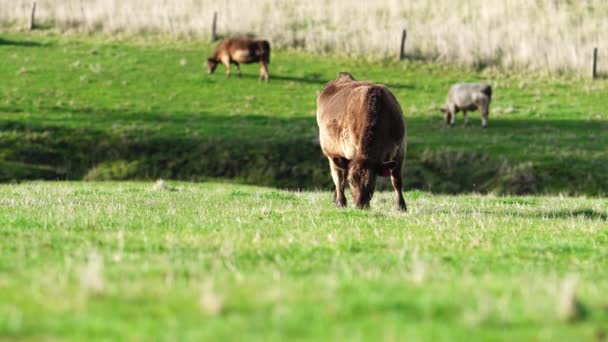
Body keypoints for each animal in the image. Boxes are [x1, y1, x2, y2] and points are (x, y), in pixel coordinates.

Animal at [316, 72, 406, 210]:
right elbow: (343, 178)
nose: (360, 206)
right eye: (351, 181)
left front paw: (401, 206)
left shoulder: (400, 149)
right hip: (331, 153)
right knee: (338, 177)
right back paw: (340, 201)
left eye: (372, 181)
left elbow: (397, 180)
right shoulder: (351, 151)